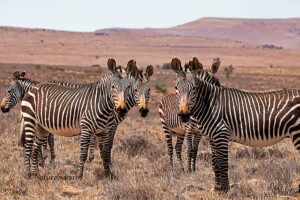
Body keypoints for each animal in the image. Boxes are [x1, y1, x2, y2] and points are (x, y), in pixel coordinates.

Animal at [171, 56, 300, 192]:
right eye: (176, 88)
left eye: (194, 88)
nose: (184, 115)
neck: (210, 104)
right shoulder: (212, 137)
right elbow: (214, 162)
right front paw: (217, 187)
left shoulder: (221, 134)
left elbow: (223, 163)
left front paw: (226, 189)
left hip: (297, 132)